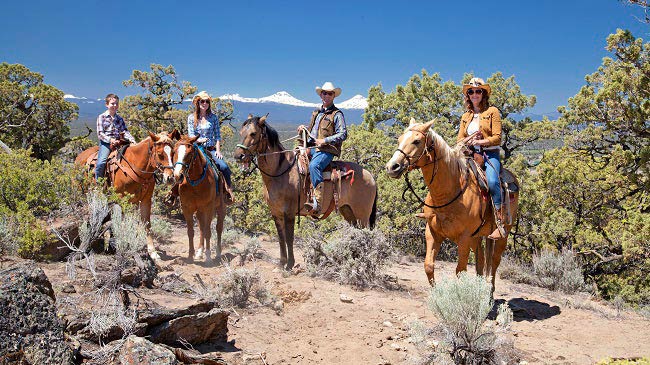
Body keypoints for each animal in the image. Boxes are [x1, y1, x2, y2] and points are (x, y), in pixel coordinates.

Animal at [75, 130, 177, 258]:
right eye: (160, 154)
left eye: (173, 153)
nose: (170, 178)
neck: (136, 167)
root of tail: (79, 157)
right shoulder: (123, 201)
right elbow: (125, 224)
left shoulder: (145, 200)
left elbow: (146, 224)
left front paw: (153, 253)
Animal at [170, 134, 225, 262]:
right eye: (174, 152)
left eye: (189, 154)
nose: (178, 176)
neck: (195, 183)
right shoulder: (187, 208)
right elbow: (191, 232)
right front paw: (191, 255)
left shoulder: (209, 208)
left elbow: (209, 231)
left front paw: (208, 256)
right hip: (200, 211)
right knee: (201, 228)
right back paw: (200, 252)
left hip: (221, 208)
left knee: (218, 228)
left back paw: (218, 253)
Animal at [234, 115, 378, 268]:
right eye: (241, 132)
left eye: (253, 133)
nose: (238, 156)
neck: (280, 171)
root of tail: (370, 176)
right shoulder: (276, 213)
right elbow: (281, 238)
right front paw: (281, 263)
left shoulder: (289, 213)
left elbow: (289, 238)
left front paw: (290, 264)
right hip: (348, 211)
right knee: (356, 233)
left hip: (362, 215)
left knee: (365, 235)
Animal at [384, 118, 516, 290]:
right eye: (399, 140)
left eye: (416, 141)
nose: (392, 167)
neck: (448, 193)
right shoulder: (433, 232)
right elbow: (428, 266)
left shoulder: (464, 238)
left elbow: (460, 270)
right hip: (477, 237)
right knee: (481, 260)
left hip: (502, 235)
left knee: (493, 263)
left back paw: (489, 291)